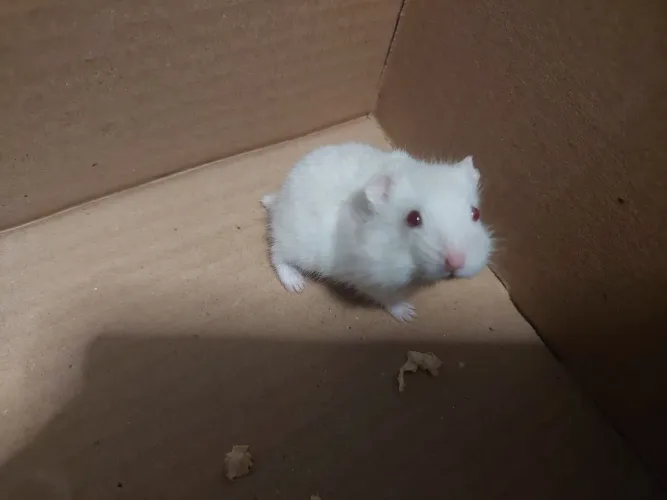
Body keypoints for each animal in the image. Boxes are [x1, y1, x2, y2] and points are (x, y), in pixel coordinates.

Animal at [261, 142, 494, 322]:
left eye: (476, 213)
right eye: (413, 218)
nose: (456, 264)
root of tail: (279, 197)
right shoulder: (368, 278)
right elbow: (389, 297)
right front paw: (409, 315)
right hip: (296, 243)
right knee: (276, 254)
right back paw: (296, 284)